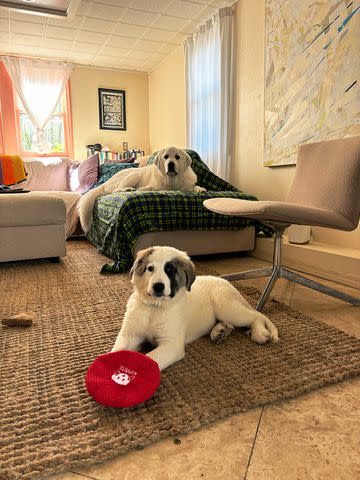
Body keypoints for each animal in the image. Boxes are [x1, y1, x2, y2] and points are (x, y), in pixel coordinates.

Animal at [112, 246, 278, 374]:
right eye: (150, 268)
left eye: (170, 270)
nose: (158, 286)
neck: (155, 307)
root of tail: (226, 282)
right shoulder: (129, 335)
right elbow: (117, 350)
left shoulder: (171, 344)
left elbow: (151, 358)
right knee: (230, 323)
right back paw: (220, 331)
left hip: (226, 306)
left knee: (255, 316)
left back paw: (259, 332)